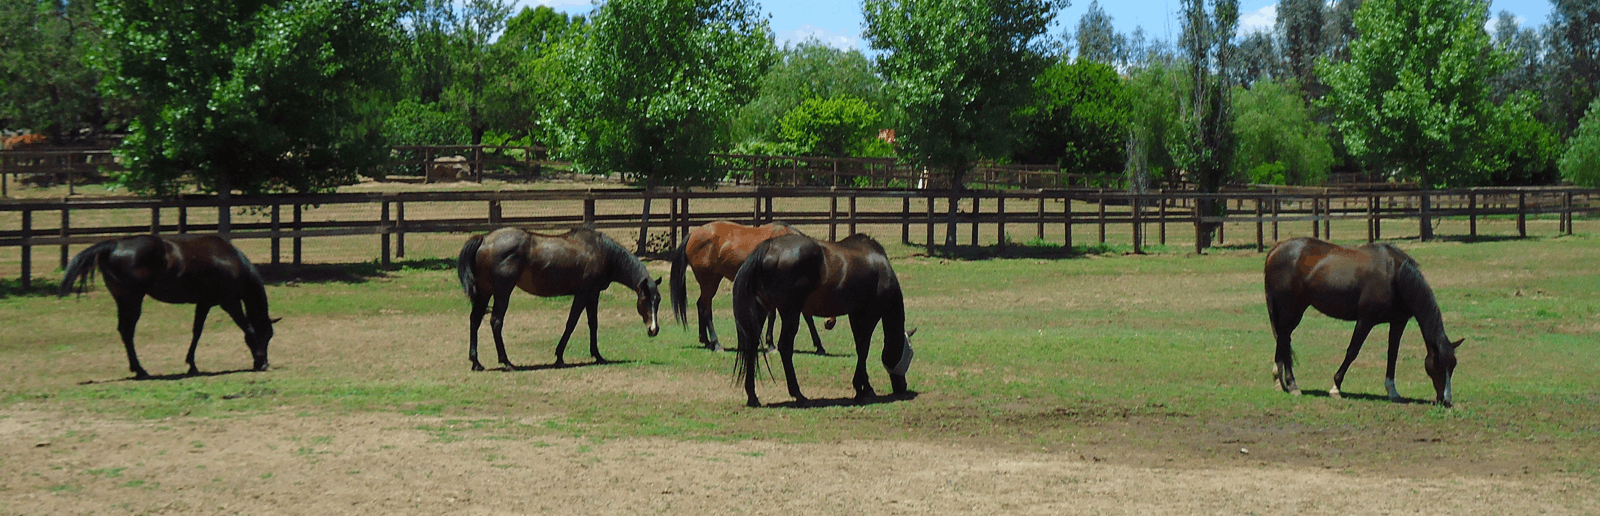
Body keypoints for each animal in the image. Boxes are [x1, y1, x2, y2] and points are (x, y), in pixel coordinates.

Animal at [58, 234, 277, 379]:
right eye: (265, 335)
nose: (265, 361)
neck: (230, 260)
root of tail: (114, 244)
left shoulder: (204, 303)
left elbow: (197, 331)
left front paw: (192, 364)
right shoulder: (229, 303)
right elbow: (247, 329)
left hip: (123, 301)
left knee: (124, 331)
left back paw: (138, 369)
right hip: (132, 301)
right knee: (128, 331)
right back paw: (141, 370)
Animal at [456, 227, 662, 370]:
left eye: (658, 300)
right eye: (645, 299)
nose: (654, 330)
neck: (601, 251)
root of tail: (483, 239)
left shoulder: (592, 295)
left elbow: (593, 324)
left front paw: (597, 355)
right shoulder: (584, 294)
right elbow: (571, 323)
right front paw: (560, 357)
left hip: (485, 292)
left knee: (475, 320)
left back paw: (476, 362)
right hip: (502, 293)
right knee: (496, 322)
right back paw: (506, 362)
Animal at [669, 220, 830, 353]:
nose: (829, 323)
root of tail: (693, 234)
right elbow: (782, 315)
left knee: (700, 305)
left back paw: (706, 341)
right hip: (710, 283)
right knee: (706, 308)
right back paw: (716, 343)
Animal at [731, 233, 915, 407]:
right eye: (909, 355)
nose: (902, 387)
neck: (881, 266)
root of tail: (768, 247)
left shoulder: (855, 314)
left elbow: (859, 346)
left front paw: (865, 387)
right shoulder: (871, 314)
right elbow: (864, 348)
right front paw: (861, 390)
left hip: (761, 309)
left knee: (752, 344)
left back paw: (753, 397)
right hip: (790, 313)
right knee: (785, 347)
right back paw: (799, 395)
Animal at [1263, 237, 1464, 407]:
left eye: (1453, 365)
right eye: (1438, 364)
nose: (1446, 400)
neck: (1394, 275)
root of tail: (1277, 248)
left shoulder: (1398, 322)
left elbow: (1392, 354)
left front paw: (1393, 392)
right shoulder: (1366, 320)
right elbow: (1353, 351)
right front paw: (1335, 387)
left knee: (1283, 338)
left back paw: (1279, 380)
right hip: (1290, 308)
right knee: (1284, 337)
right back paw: (1292, 384)